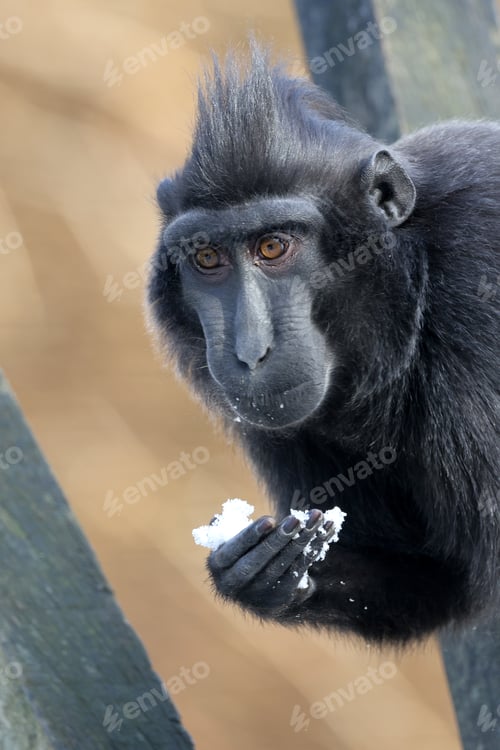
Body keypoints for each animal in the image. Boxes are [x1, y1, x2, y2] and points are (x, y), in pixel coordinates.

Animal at [146, 45, 499, 646]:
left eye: (272, 247)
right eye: (208, 259)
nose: (249, 351)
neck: (418, 283)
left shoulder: (478, 302)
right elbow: (445, 581)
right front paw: (262, 573)